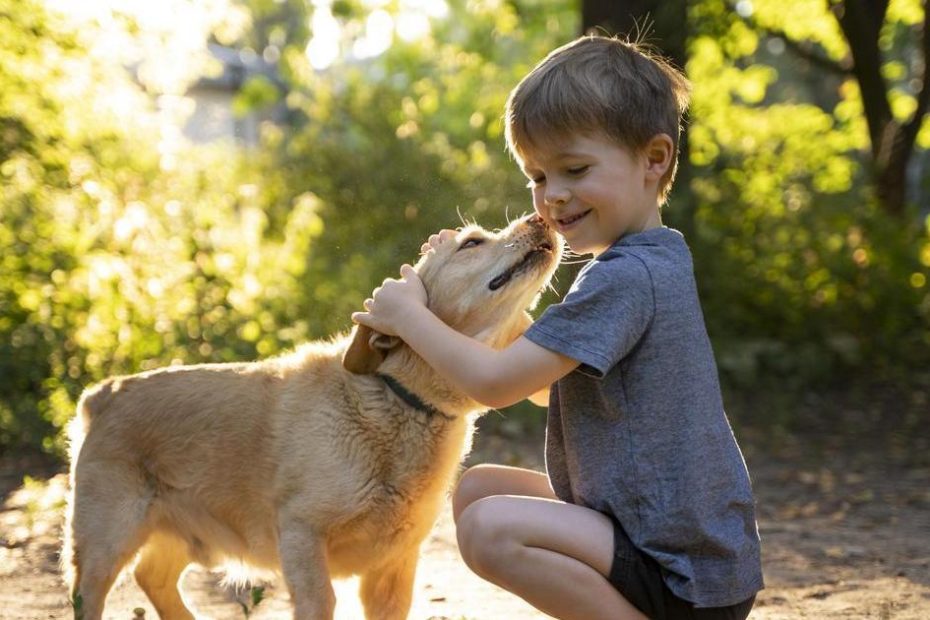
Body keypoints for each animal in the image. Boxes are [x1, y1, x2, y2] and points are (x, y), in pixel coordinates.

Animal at [63, 214, 560, 620]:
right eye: (472, 242)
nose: (541, 217)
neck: (399, 400)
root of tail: (103, 392)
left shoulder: (393, 567)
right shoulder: (302, 535)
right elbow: (321, 602)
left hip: (183, 539)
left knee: (154, 579)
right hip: (105, 544)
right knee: (91, 596)